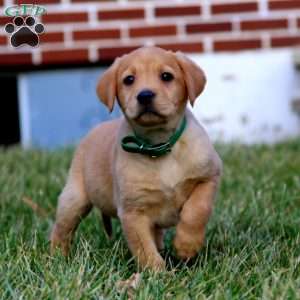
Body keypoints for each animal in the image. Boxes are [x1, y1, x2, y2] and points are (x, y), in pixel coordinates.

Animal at [50, 45, 221, 270]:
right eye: (129, 79)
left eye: (166, 76)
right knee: (61, 229)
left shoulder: (208, 177)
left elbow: (197, 209)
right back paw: (57, 259)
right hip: (74, 199)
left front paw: (187, 246)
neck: (160, 146)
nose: (145, 95)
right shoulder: (133, 211)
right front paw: (158, 275)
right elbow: (144, 249)